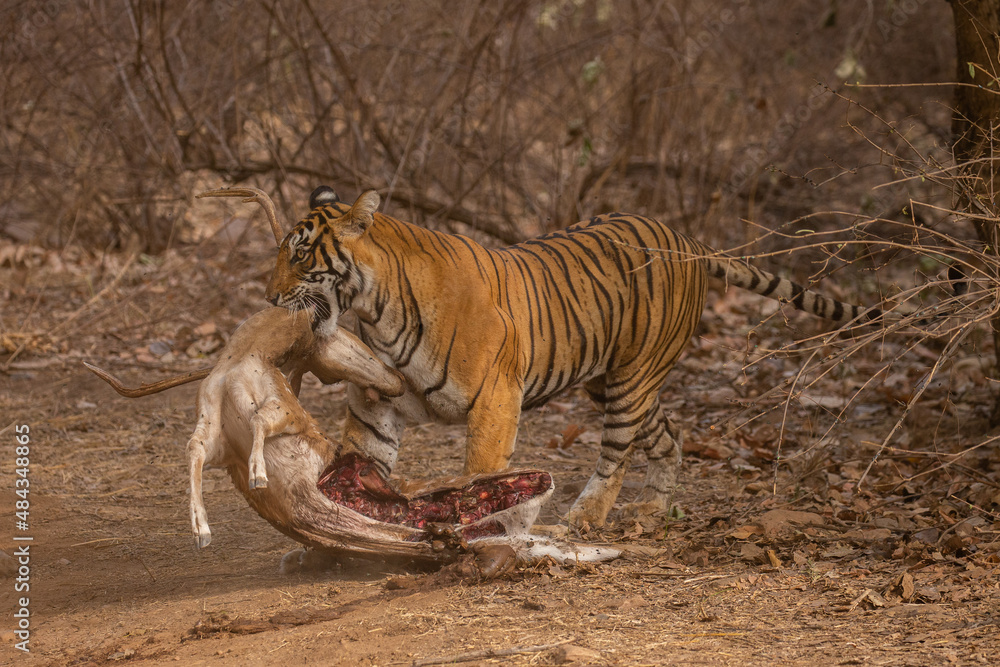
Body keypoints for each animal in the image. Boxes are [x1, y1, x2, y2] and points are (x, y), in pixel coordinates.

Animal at [266, 187, 892, 528]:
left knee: (617, 452)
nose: (269, 299)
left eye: (300, 255)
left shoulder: (495, 399)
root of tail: (688, 241)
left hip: (630, 382)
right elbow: (363, 463)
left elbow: (481, 474)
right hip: (613, 379)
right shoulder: (376, 404)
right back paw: (653, 511)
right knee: (667, 437)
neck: (376, 308)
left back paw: (586, 518)